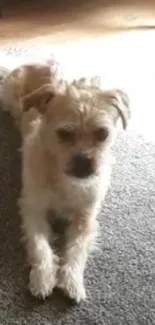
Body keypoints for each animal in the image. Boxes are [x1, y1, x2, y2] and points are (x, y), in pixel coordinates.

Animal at [0, 60, 131, 302]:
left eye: (103, 133)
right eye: (63, 133)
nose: (84, 161)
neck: (64, 179)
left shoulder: (85, 218)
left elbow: (76, 250)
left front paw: (72, 281)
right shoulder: (33, 211)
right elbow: (40, 246)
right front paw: (43, 278)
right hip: (10, 97)